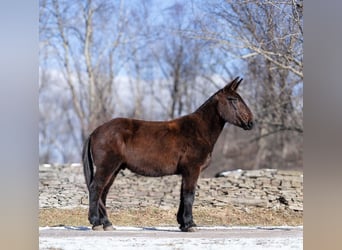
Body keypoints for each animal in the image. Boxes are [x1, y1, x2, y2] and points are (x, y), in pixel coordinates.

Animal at [83, 76, 254, 232]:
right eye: (233, 99)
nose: (251, 122)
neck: (198, 131)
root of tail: (95, 132)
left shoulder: (186, 172)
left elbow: (183, 196)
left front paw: (183, 224)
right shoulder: (192, 170)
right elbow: (189, 195)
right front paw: (190, 224)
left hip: (115, 169)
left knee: (103, 192)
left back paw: (107, 223)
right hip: (107, 167)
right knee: (96, 188)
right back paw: (96, 222)